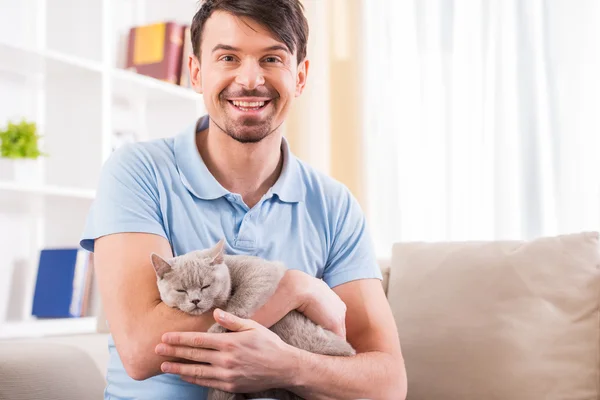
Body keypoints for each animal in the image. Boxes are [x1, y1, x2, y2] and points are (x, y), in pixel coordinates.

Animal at [151, 239, 356, 398]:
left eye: (205, 286)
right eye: (181, 290)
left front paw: (218, 327)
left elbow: (242, 298)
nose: (195, 300)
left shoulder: (260, 270)